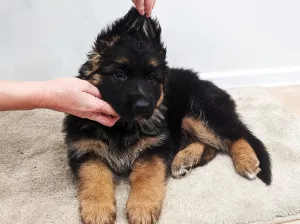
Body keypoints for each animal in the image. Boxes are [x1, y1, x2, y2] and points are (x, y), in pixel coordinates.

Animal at [63, 7, 272, 224]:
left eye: (151, 77)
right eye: (119, 74)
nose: (143, 107)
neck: (122, 127)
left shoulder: (155, 147)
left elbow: (146, 175)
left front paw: (142, 206)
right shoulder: (86, 150)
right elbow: (93, 175)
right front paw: (98, 209)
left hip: (197, 113)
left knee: (236, 136)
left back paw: (246, 161)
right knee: (211, 146)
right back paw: (184, 160)